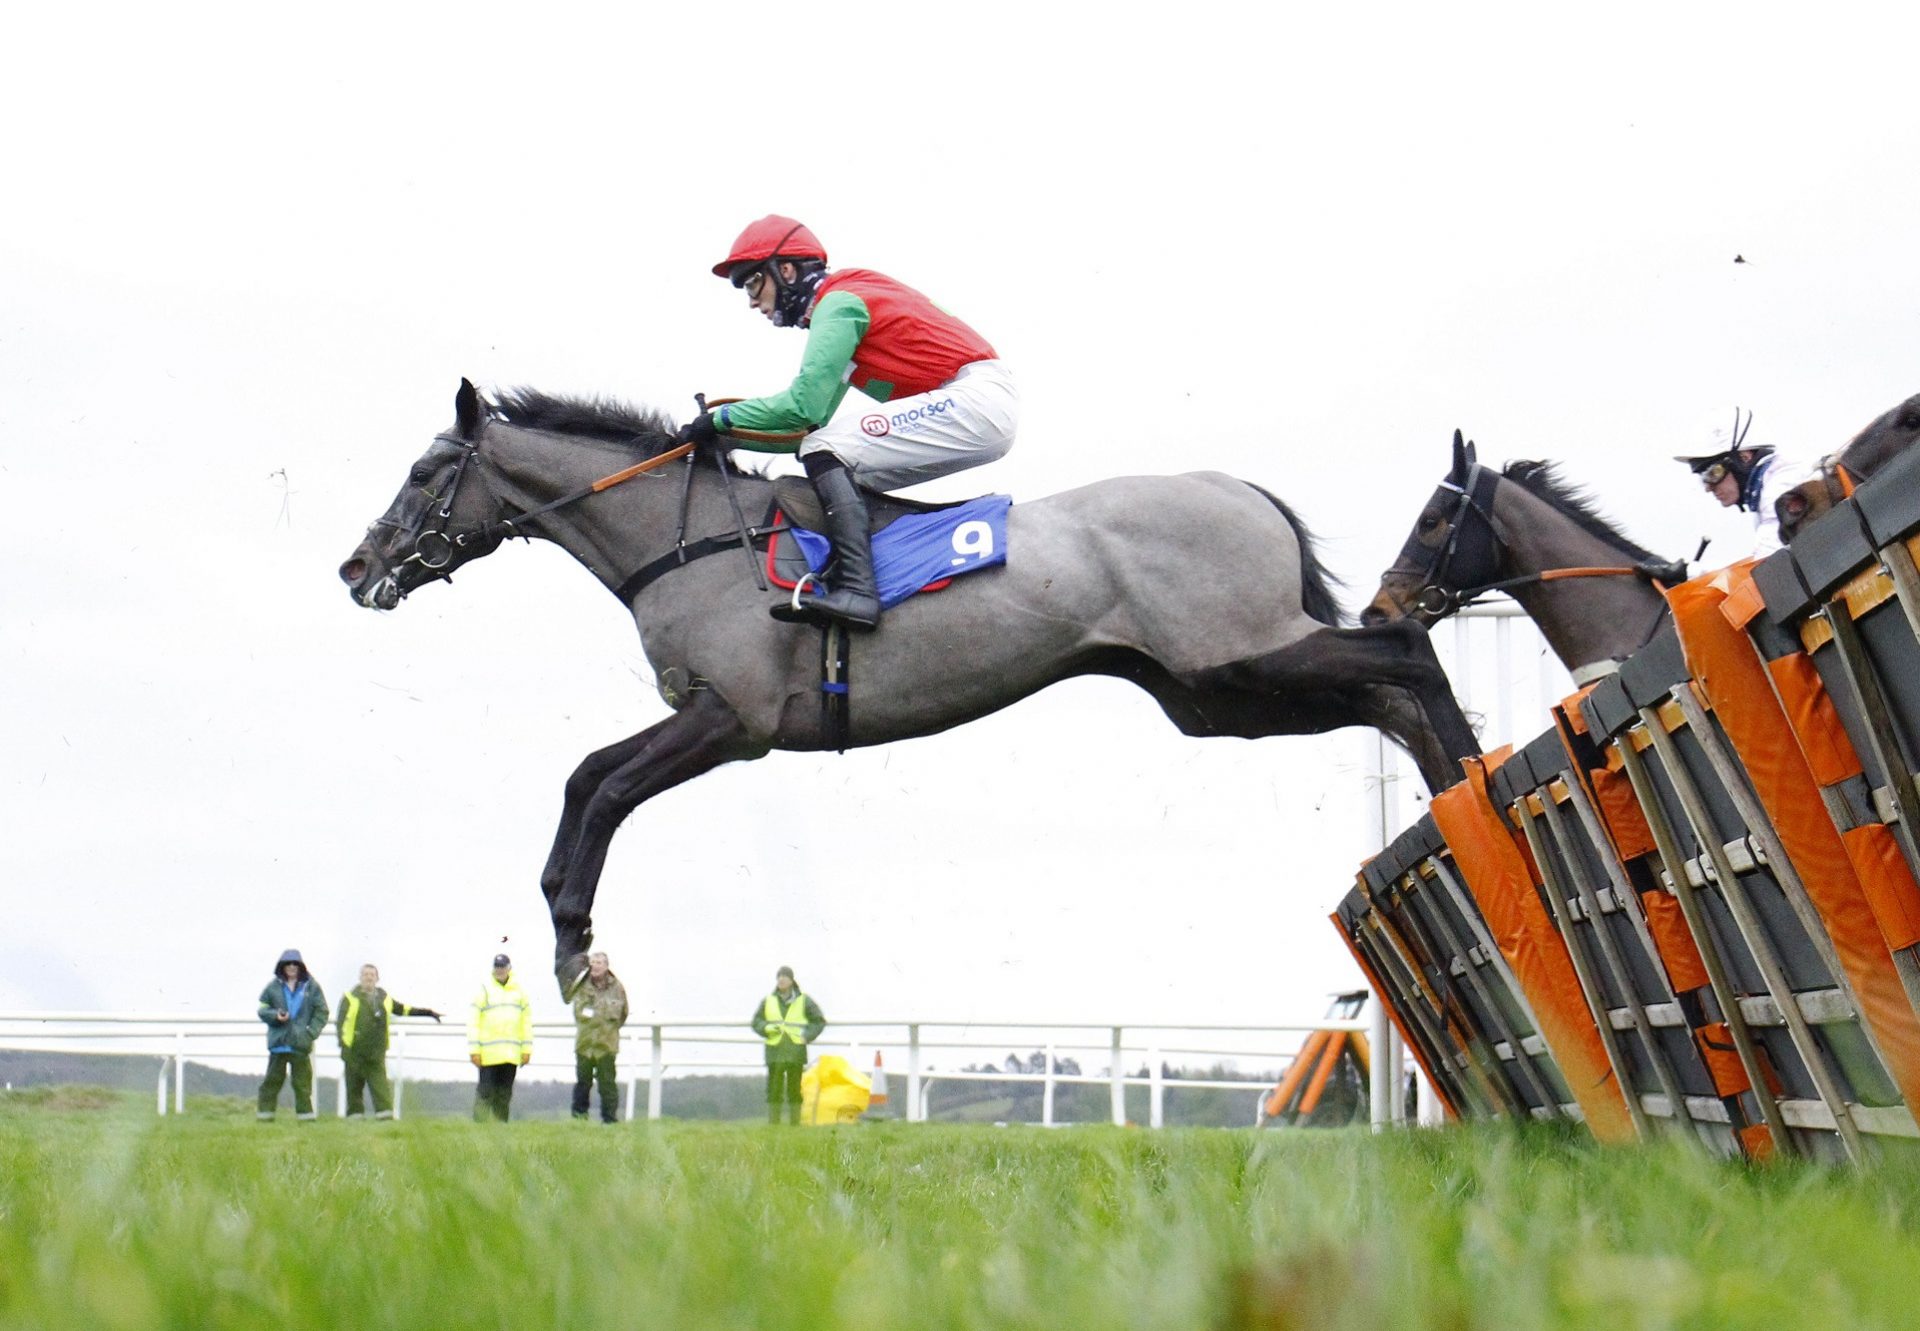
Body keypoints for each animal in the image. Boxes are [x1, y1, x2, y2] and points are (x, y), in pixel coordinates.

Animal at [341, 378, 1482, 991]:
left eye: (422, 472)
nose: (357, 568)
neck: (685, 537)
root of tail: (1238, 488)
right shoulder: (706, 717)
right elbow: (587, 777)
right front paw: (560, 920)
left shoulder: (731, 720)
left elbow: (606, 783)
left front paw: (575, 941)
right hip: (1215, 698)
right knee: (1380, 693)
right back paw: (1452, 795)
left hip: (1237, 656)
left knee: (1403, 656)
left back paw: (1469, 775)